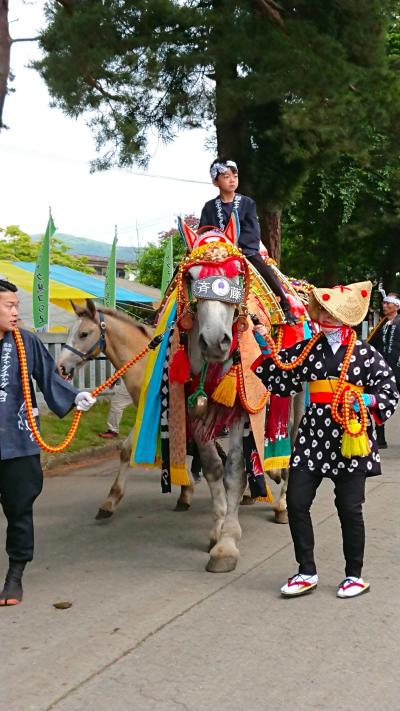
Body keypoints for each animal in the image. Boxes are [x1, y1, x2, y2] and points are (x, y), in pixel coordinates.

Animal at [131, 213, 310, 572]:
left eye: (238, 273)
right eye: (189, 276)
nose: (216, 341)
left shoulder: (243, 407)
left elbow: (234, 472)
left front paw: (227, 542)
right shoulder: (194, 408)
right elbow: (213, 468)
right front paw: (217, 529)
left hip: (295, 395)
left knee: (292, 436)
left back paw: (283, 503)